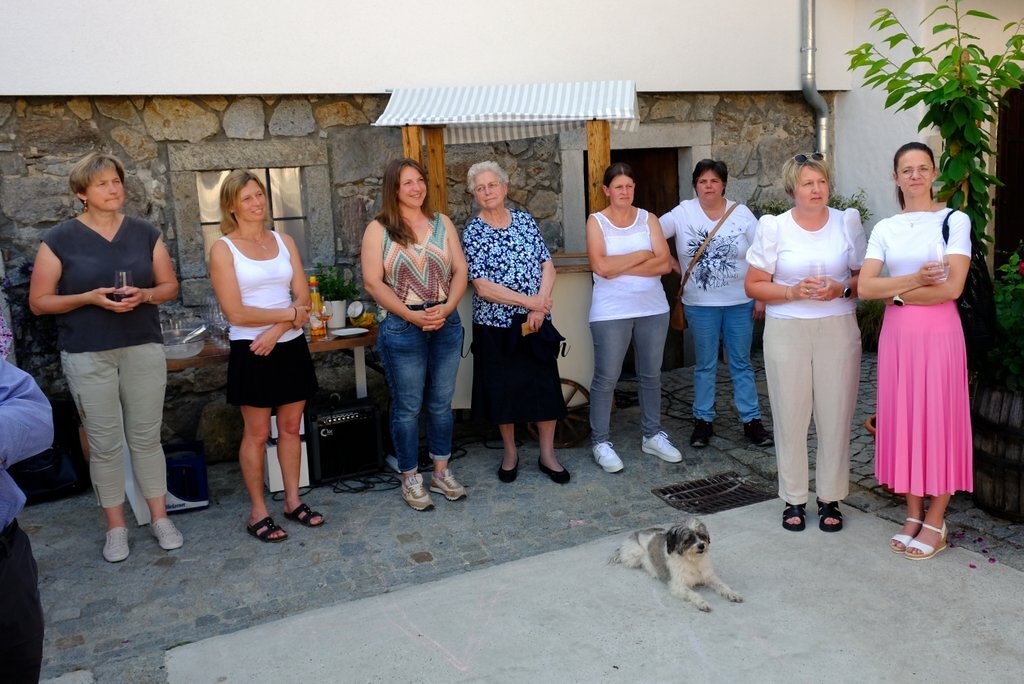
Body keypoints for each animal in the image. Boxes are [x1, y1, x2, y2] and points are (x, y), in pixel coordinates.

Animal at [609, 517, 743, 612]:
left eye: (701, 535)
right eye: (688, 539)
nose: (701, 546)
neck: (692, 561)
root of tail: (637, 532)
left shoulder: (709, 577)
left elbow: (722, 586)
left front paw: (732, 594)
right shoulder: (677, 585)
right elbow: (692, 593)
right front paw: (702, 603)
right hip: (634, 555)